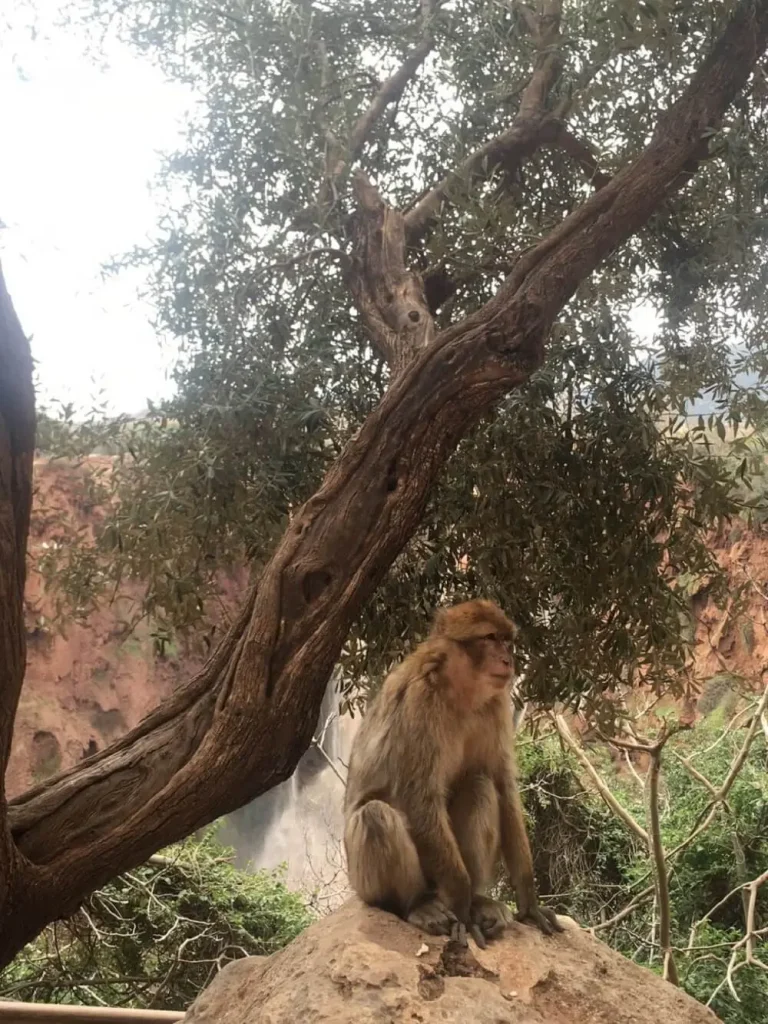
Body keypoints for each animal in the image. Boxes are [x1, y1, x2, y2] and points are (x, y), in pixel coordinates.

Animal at [343, 599, 562, 948]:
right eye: (489, 638)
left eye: (507, 640)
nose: (508, 659)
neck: (459, 691)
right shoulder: (420, 702)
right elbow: (419, 799)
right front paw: (461, 908)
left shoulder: (496, 703)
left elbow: (501, 785)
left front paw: (528, 900)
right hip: (365, 882)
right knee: (374, 815)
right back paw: (418, 905)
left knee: (479, 786)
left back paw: (478, 900)